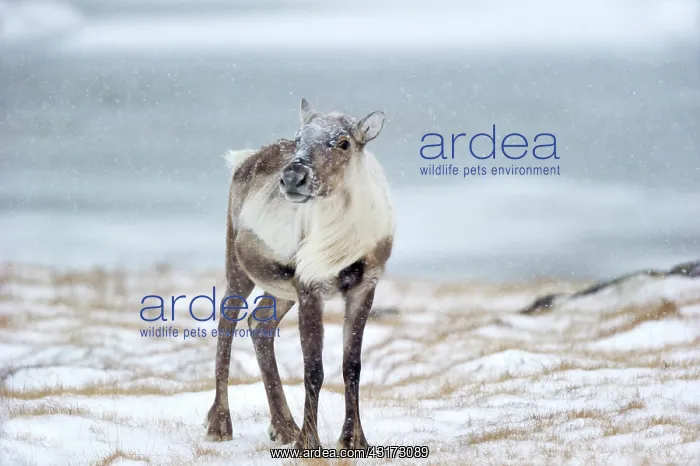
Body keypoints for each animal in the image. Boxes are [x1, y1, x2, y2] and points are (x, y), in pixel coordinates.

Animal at [205, 98, 395, 450]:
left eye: (344, 142)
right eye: (298, 138)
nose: (293, 177)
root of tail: (243, 159)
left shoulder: (364, 286)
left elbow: (352, 366)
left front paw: (353, 440)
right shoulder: (310, 286)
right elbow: (314, 369)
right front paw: (309, 442)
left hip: (281, 288)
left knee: (259, 324)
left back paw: (283, 427)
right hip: (237, 266)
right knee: (227, 322)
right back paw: (220, 424)